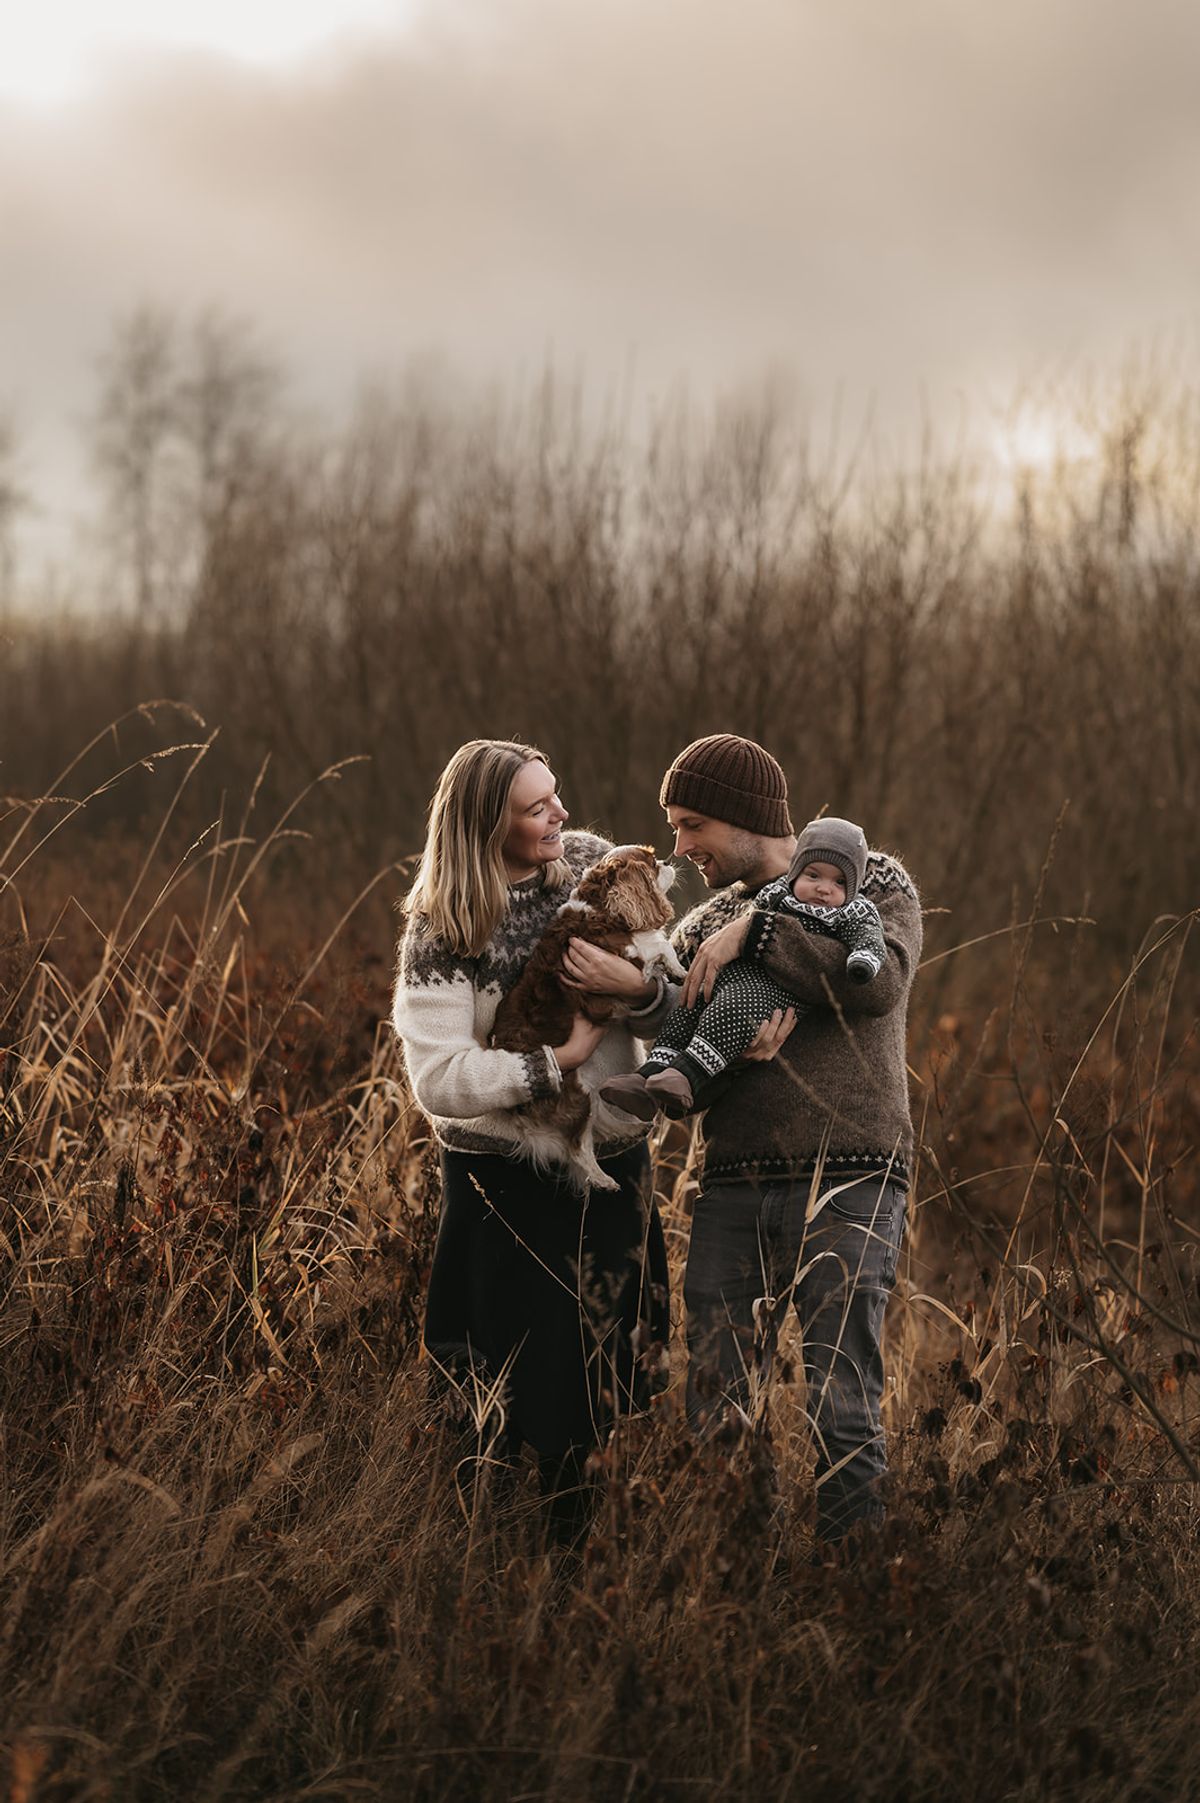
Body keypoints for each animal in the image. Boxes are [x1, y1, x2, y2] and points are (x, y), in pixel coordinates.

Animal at [490, 847, 681, 1189]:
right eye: (652, 864)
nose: (667, 863)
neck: (602, 906)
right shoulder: (620, 962)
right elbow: (658, 945)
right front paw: (678, 967)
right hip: (577, 1094)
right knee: (578, 1146)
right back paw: (603, 1179)